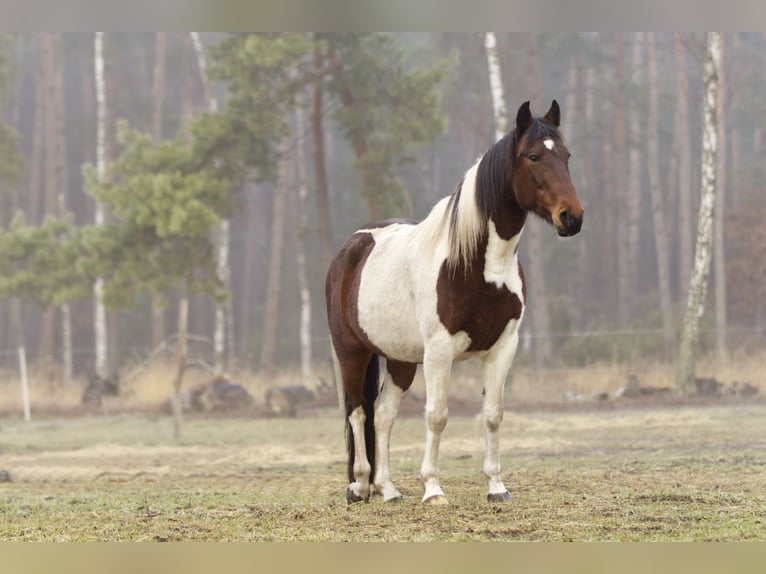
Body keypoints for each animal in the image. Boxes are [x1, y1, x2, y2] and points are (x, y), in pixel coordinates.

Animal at [324, 101, 584, 506]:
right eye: (534, 156)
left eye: (567, 156)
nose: (571, 217)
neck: (480, 264)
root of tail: (351, 248)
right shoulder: (439, 351)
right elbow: (437, 415)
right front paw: (433, 489)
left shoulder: (503, 348)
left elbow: (493, 414)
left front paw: (496, 486)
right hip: (352, 352)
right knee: (356, 412)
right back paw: (360, 485)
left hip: (399, 360)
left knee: (382, 415)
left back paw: (388, 489)